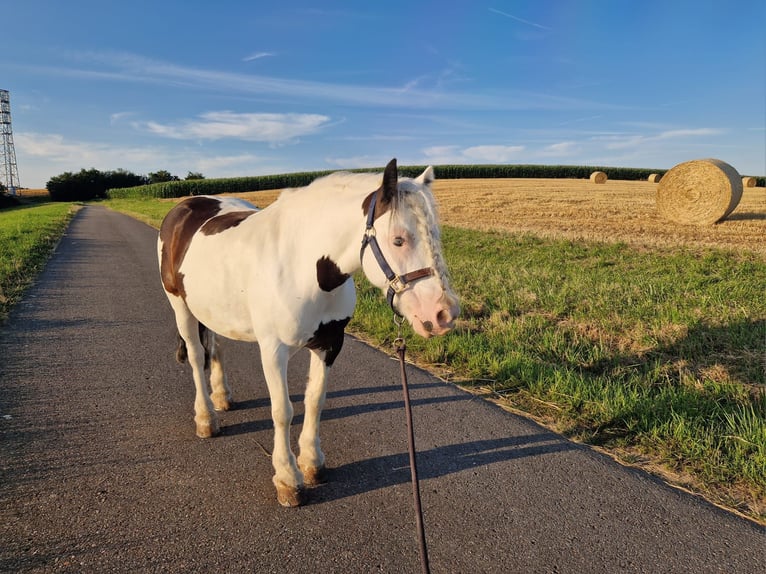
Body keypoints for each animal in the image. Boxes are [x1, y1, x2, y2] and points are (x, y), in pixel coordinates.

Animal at [158, 160, 460, 506]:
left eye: (435, 235)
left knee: (216, 345)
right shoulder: (273, 350)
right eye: (399, 240)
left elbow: (315, 400)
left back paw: (222, 396)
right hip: (180, 305)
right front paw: (288, 478)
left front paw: (312, 463)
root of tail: (184, 207)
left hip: (212, 308)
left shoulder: (330, 344)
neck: (302, 265)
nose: (444, 314)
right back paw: (206, 418)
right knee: (197, 356)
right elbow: (282, 411)